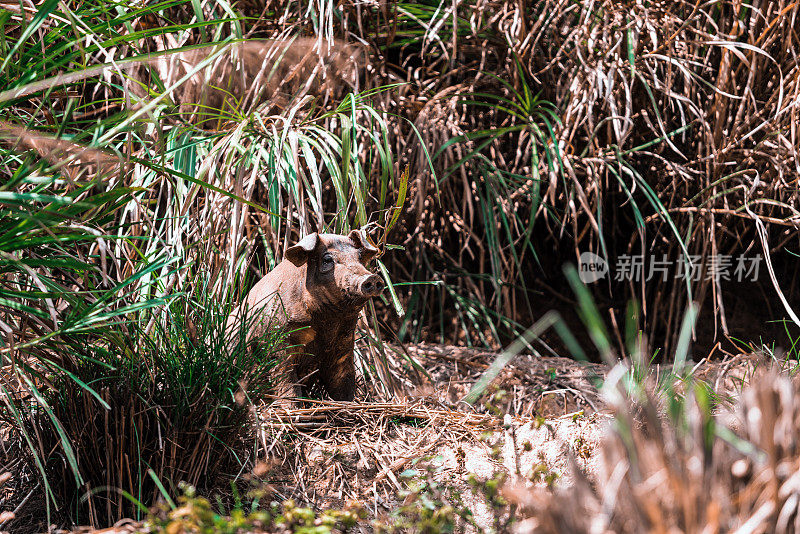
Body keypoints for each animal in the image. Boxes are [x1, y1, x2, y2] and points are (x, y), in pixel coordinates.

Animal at [228, 230, 384, 402]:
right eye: (327, 259)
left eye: (359, 257)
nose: (371, 277)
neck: (327, 321)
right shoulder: (275, 339)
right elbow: (286, 379)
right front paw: (295, 405)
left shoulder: (344, 342)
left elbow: (344, 380)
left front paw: (349, 403)